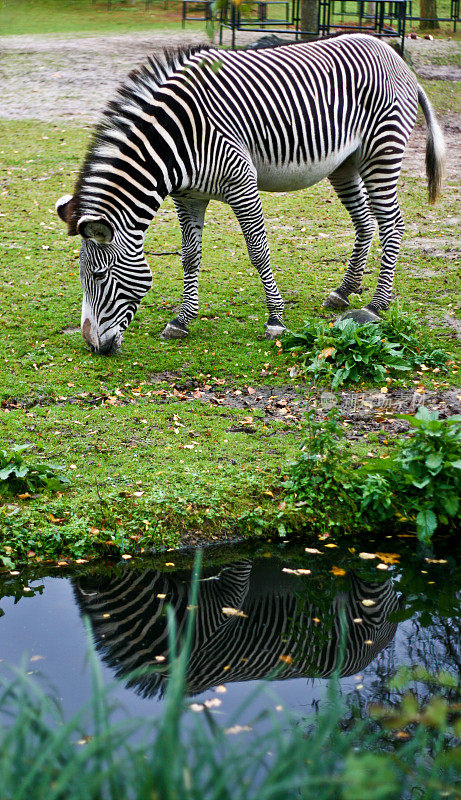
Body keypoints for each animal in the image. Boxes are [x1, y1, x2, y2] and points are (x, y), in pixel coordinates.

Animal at [55, 33, 444, 354]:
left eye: (99, 276)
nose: (93, 346)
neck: (176, 139)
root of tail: (393, 54)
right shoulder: (189, 196)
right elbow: (189, 256)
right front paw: (181, 320)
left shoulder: (242, 183)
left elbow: (258, 252)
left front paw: (276, 319)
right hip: (344, 162)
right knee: (365, 222)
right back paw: (343, 292)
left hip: (382, 150)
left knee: (392, 224)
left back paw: (376, 305)